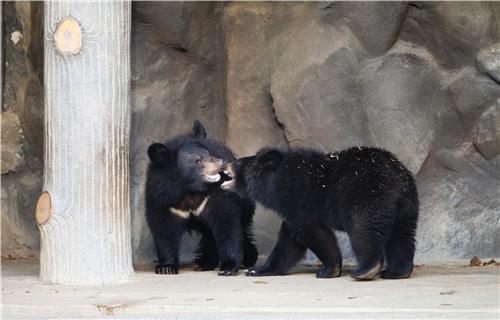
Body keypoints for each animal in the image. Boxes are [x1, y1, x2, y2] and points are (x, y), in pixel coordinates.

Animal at [146, 121, 258, 276]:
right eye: (197, 160)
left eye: (209, 153)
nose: (220, 162)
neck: (188, 190)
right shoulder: (162, 198)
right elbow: (164, 230)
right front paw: (166, 267)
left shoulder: (215, 196)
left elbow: (226, 224)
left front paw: (228, 267)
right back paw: (203, 264)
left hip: (245, 203)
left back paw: (247, 259)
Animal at [222, 146, 418, 278]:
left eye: (237, 162)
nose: (225, 164)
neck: (279, 181)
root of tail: (398, 178)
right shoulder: (292, 209)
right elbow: (290, 240)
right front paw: (257, 269)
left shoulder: (299, 200)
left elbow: (312, 231)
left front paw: (328, 269)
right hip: (405, 206)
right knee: (402, 235)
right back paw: (396, 271)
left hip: (366, 194)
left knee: (363, 227)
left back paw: (366, 269)